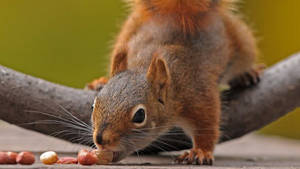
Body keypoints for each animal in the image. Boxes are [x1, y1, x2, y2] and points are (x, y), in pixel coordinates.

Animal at [88, 0, 262, 165]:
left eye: (139, 116)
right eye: (94, 106)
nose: (101, 140)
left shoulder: (198, 94)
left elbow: (207, 125)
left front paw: (201, 152)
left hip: (242, 43)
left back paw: (247, 74)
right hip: (127, 31)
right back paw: (101, 81)